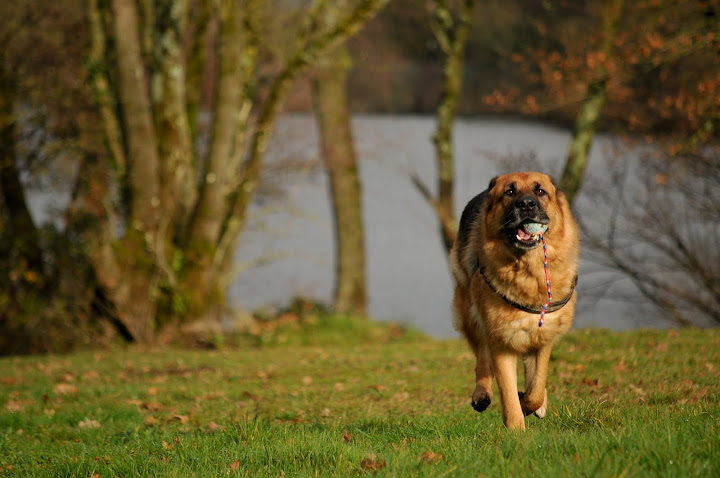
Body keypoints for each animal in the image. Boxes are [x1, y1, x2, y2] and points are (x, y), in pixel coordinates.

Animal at [452, 172, 584, 430]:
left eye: (540, 191)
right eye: (509, 192)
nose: (526, 204)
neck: (528, 271)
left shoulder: (542, 338)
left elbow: (536, 387)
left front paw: (531, 403)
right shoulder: (501, 342)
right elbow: (509, 392)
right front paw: (515, 429)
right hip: (470, 313)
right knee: (482, 356)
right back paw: (482, 393)